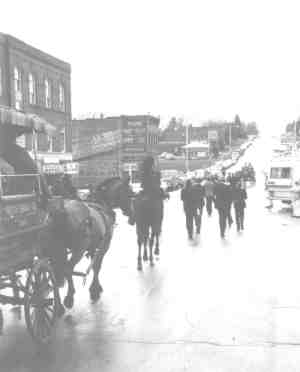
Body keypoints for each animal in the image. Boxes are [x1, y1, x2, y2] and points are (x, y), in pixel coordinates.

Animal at [44, 176, 133, 312]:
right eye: (129, 193)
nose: (132, 216)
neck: (101, 203)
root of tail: (60, 211)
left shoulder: (92, 248)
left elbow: (94, 264)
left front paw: (96, 287)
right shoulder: (104, 246)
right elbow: (97, 266)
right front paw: (94, 289)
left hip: (54, 251)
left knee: (54, 273)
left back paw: (58, 306)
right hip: (78, 250)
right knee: (68, 269)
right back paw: (69, 297)